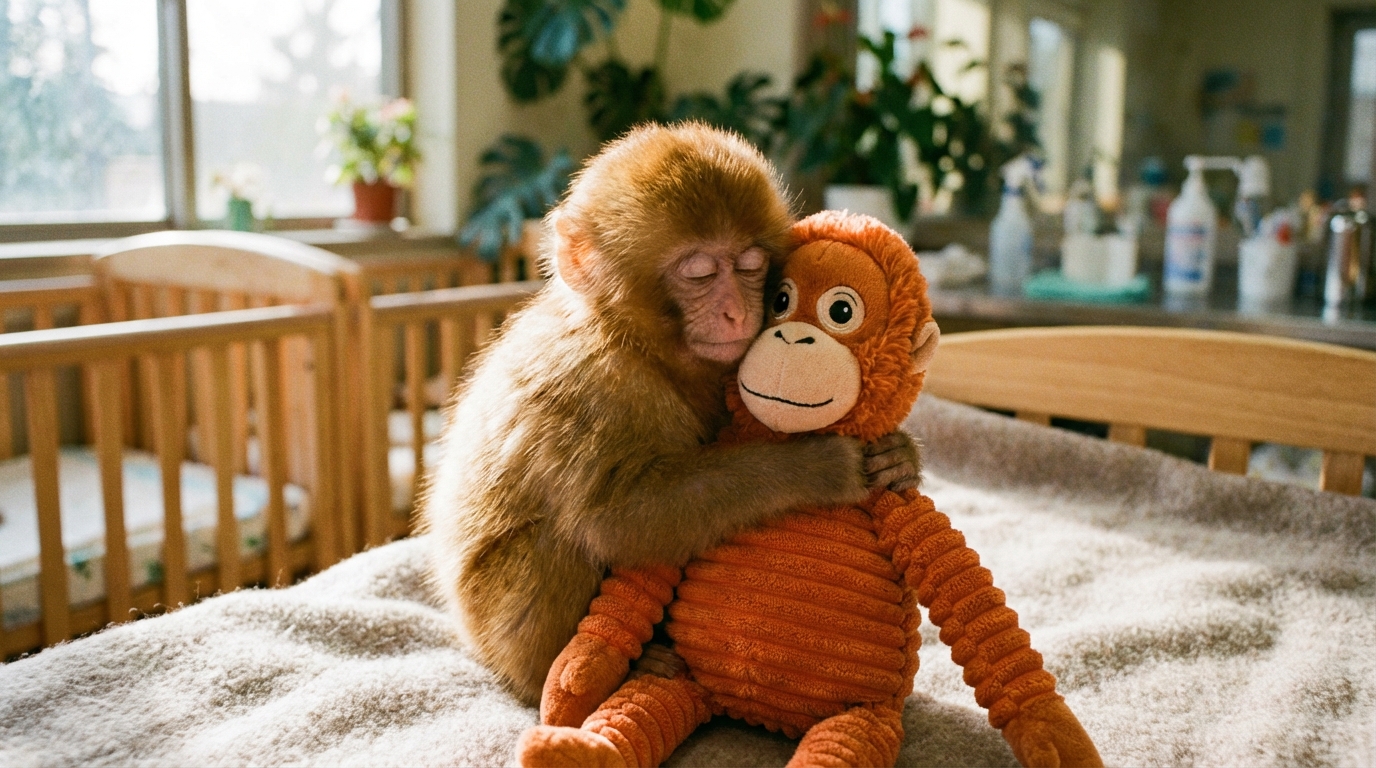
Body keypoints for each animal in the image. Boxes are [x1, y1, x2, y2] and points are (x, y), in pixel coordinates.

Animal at [421, 123, 921, 705]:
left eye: (750, 266)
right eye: (699, 272)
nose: (737, 312)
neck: (639, 344)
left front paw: (900, 457)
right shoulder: (590, 381)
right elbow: (619, 519)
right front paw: (814, 465)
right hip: (496, 626)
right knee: (557, 542)